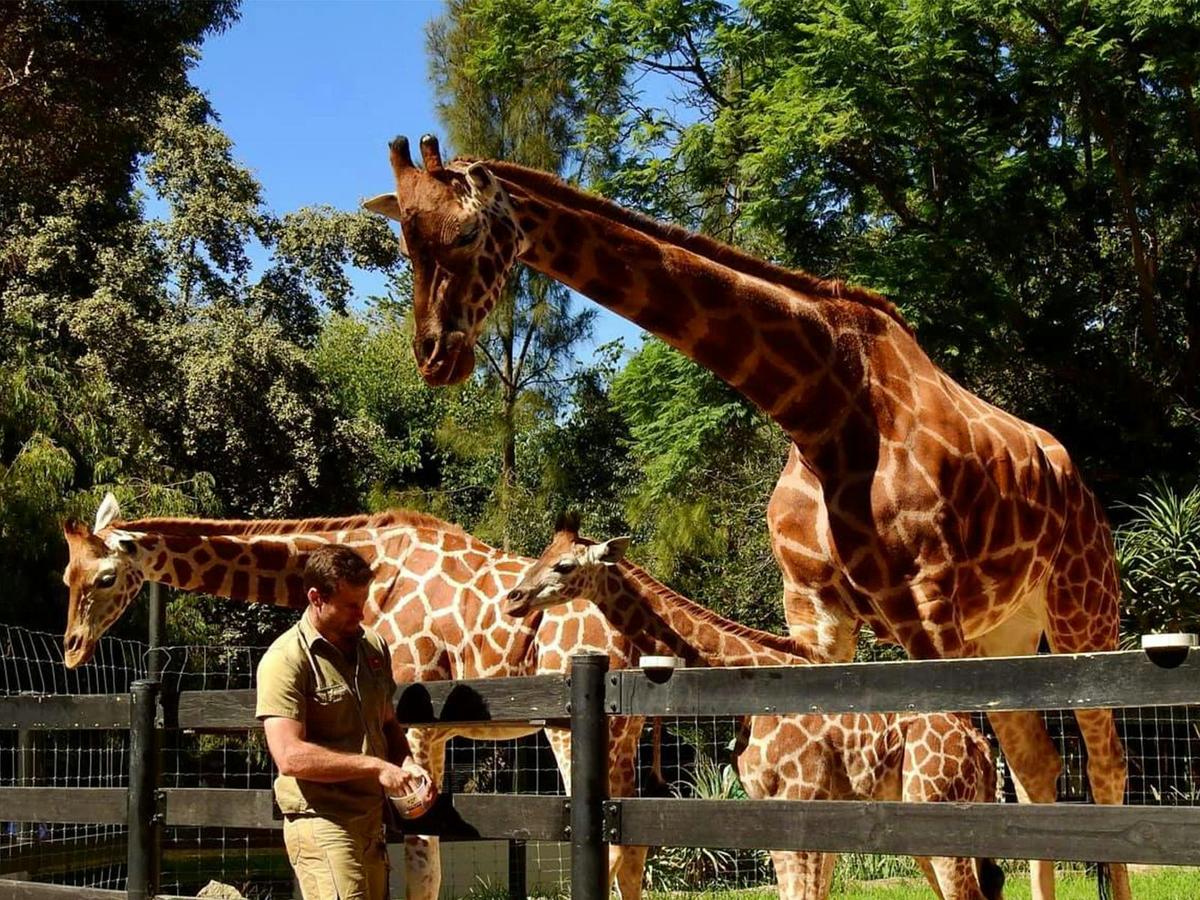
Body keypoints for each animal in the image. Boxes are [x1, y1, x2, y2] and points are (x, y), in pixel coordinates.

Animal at [61, 494, 655, 900]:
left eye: (106, 577)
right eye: (68, 575)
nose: (70, 648)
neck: (380, 560)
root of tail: (634, 635)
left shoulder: (419, 718)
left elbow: (422, 860)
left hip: (570, 725)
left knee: (605, 845)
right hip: (625, 732)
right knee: (631, 846)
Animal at [503, 516, 1004, 900]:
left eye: (564, 565)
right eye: (542, 555)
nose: (514, 598)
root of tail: (980, 748)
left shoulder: (798, 803)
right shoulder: (784, 810)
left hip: (939, 808)